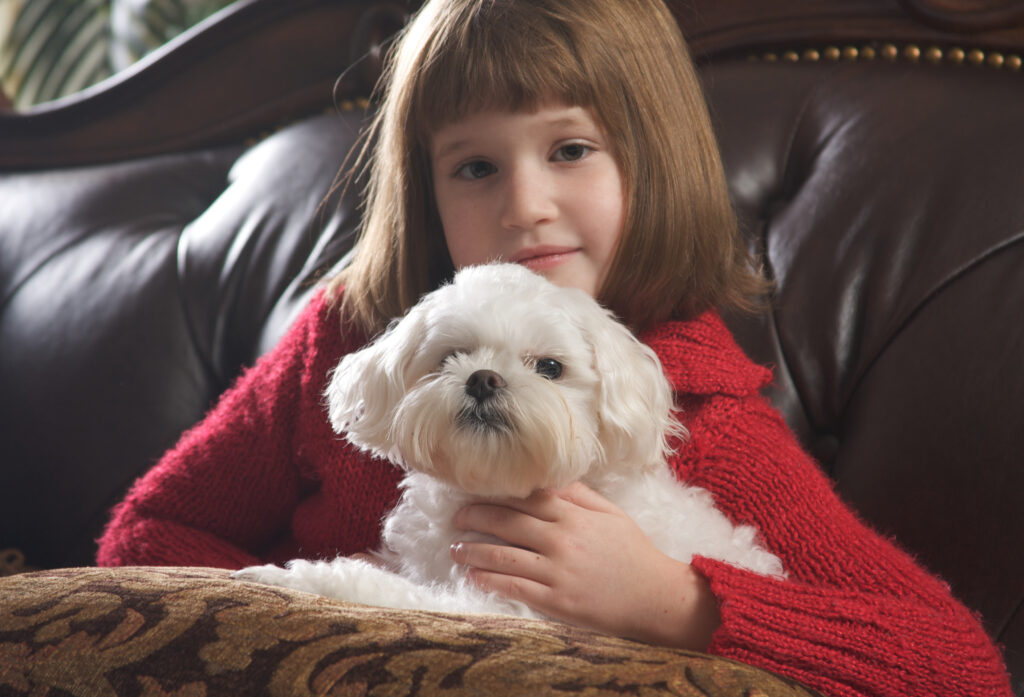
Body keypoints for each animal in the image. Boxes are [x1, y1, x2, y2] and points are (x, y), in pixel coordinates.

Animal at [235, 264, 782, 618]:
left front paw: (287, 577)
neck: (496, 488)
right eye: (450, 357)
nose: (483, 379)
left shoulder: (509, 601)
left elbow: (385, 589)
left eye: (550, 368)